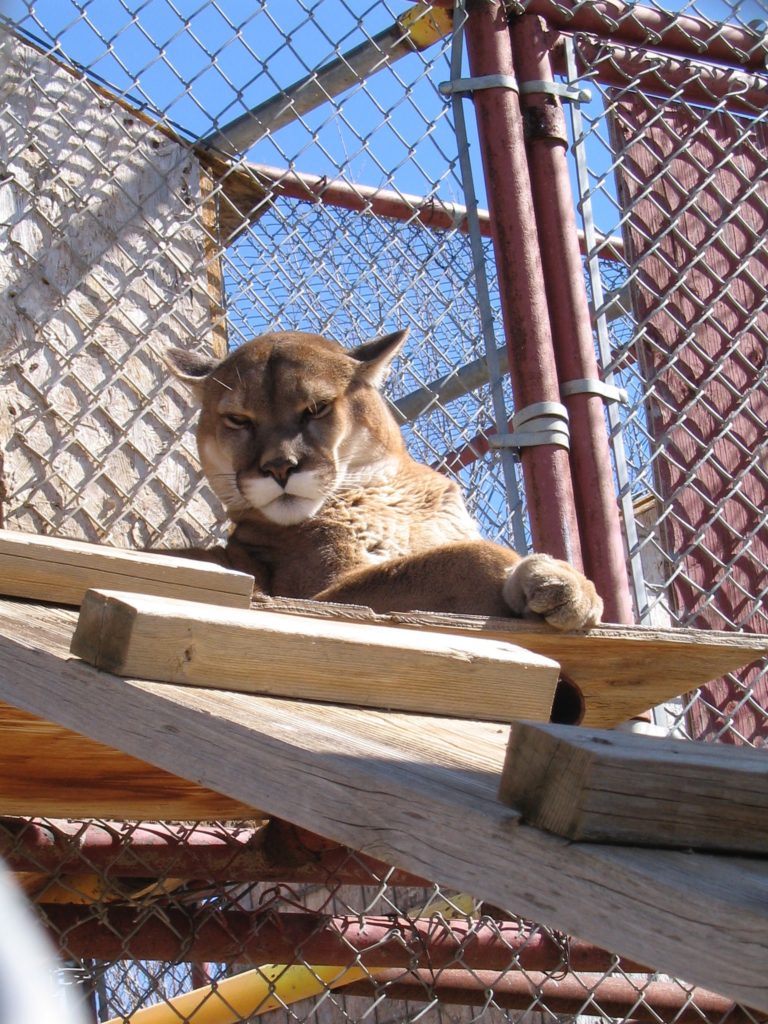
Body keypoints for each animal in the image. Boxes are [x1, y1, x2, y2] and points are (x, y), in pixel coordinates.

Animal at [165, 331, 606, 626]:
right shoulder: (319, 596)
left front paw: (573, 585)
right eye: (238, 419)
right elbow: (466, 556)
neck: (386, 490)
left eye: (316, 408)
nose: (279, 467)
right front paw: (536, 577)